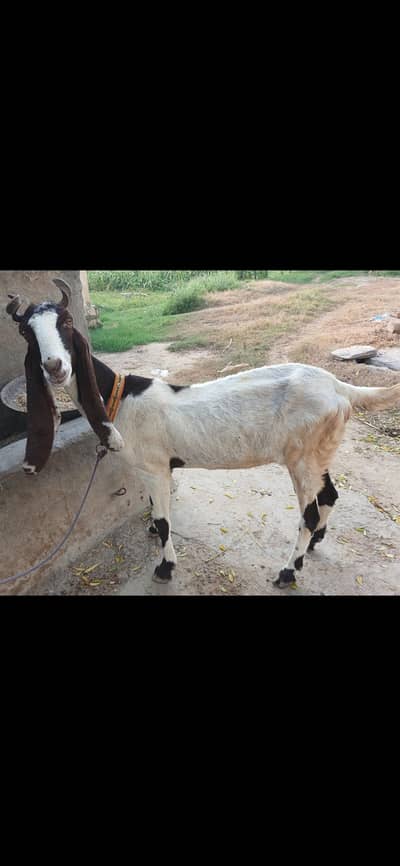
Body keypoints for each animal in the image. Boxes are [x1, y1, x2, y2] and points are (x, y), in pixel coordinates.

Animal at [6, 280, 400, 588]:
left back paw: (288, 571)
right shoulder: (156, 468)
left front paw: (165, 567)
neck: (119, 396)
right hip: (319, 451)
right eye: (27, 332)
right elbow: (156, 511)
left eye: (66, 322)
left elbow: (164, 519)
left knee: (309, 512)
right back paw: (314, 544)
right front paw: (154, 537)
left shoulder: (154, 467)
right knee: (329, 495)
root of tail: (339, 387)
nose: (55, 366)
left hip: (302, 458)